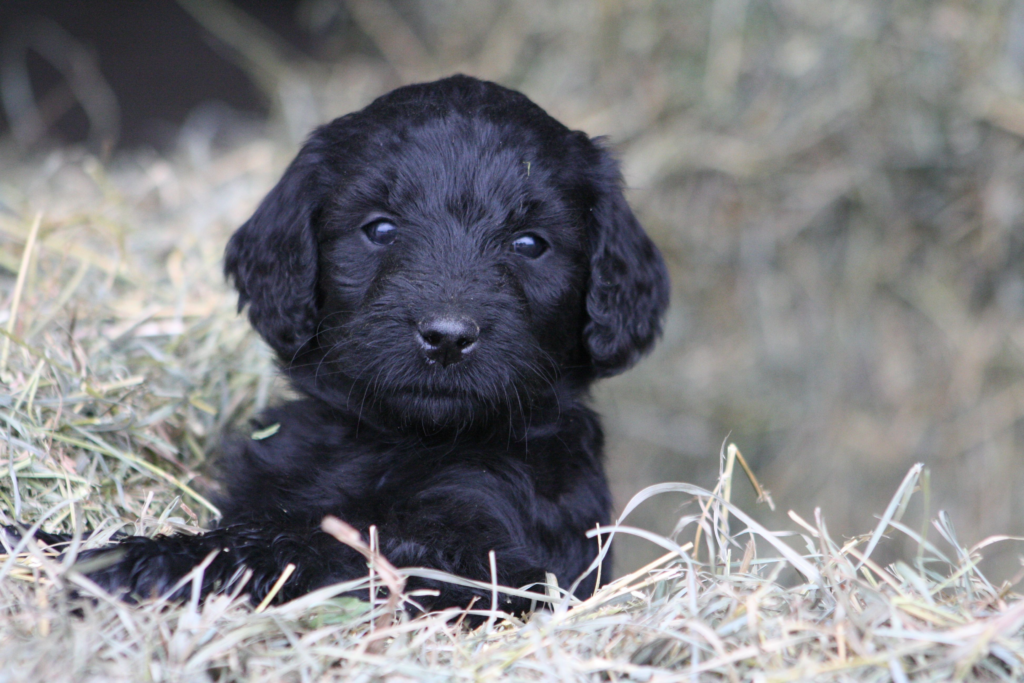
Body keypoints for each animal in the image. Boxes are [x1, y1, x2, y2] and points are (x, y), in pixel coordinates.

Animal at [22, 76, 671, 614]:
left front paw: (149, 561)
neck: (393, 444)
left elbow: (315, 547)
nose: (447, 337)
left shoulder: (496, 561)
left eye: (531, 243)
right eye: (380, 228)